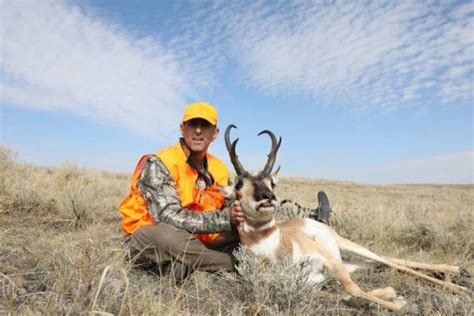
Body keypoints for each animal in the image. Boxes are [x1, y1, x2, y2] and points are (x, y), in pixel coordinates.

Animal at [222, 124, 470, 312]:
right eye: (239, 184)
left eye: (272, 183)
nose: (268, 197)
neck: (275, 248)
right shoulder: (314, 283)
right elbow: (346, 295)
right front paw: (393, 296)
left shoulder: (331, 263)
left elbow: (353, 289)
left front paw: (398, 304)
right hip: (350, 262)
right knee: (387, 263)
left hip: (347, 248)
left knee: (391, 261)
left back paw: (462, 282)